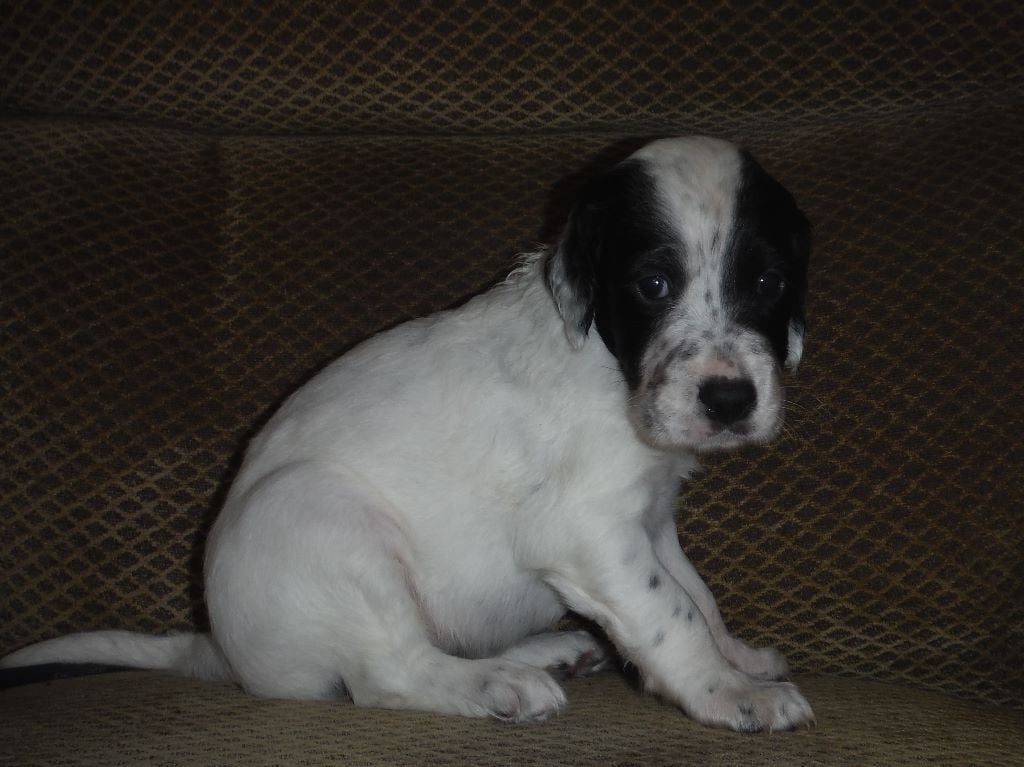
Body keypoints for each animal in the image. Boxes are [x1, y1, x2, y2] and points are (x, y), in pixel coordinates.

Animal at [2, 136, 814, 733]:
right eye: (653, 285)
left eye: (768, 284)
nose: (730, 398)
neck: (607, 361)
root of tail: (218, 651)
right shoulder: (591, 530)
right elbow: (670, 613)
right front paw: (728, 691)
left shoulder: (651, 519)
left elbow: (695, 594)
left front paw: (738, 659)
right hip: (326, 522)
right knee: (388, 672)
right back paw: (502, 683)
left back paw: (545, 652)